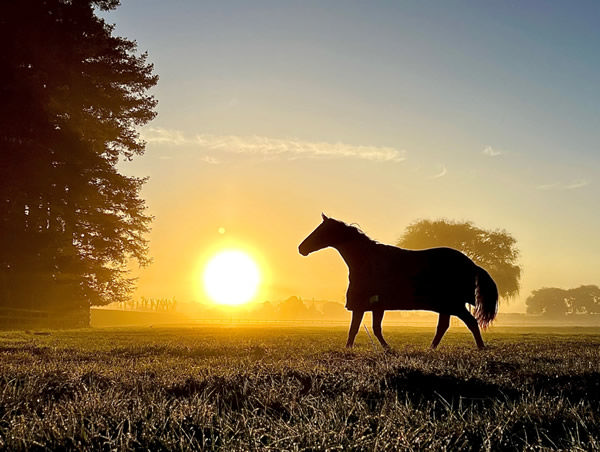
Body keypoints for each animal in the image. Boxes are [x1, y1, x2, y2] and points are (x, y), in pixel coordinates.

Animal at [298, 215, 500, 350]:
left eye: (322, 230)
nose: (301, 248)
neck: (367, 261)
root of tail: (471, 263)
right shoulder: (376, 306)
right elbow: (373, 329)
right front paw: (385, 349)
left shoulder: (362, 305)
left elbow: (357, 329)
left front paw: (353, 349)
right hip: (447, 306)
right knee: (444, 326)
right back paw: (431, 349)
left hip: (453, 304)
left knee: (470, 322)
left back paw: (480, 348)